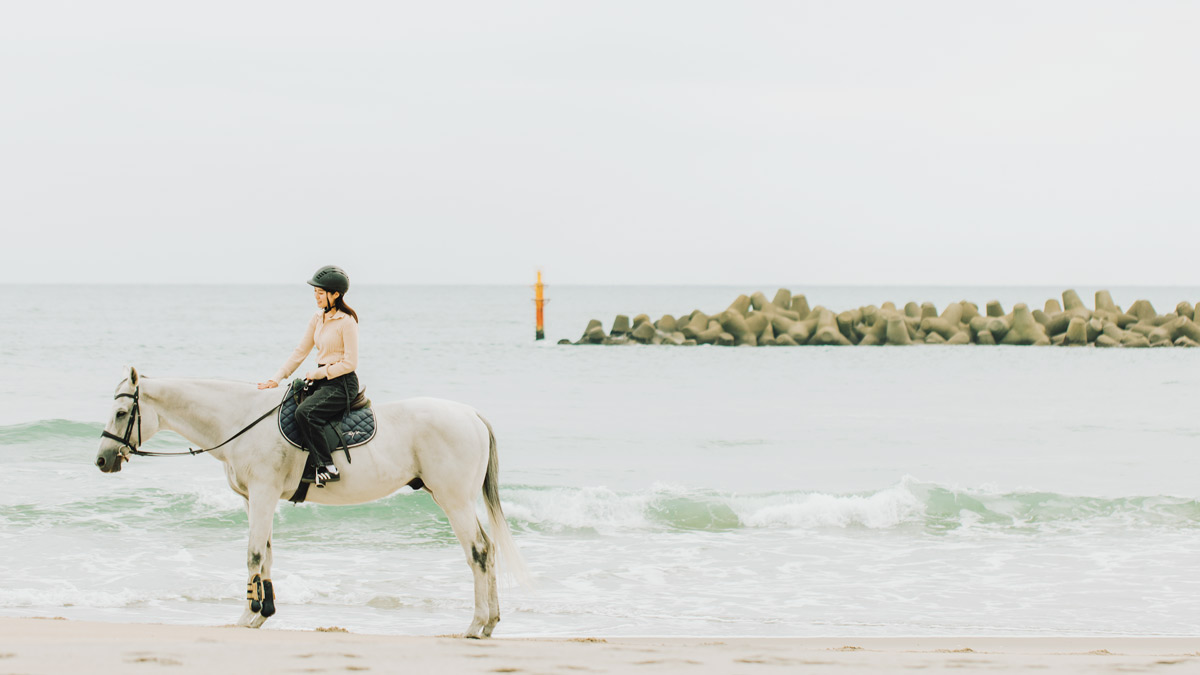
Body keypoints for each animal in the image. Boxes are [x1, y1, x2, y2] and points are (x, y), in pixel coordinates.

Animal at [93, 367, 525, 634]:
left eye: (121, 412)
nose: (102, 460)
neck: (241, 420)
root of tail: (471, 414)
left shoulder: (263, 493)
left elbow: (253, 554)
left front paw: (247, 616)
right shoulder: (256, 498)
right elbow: (266, 553)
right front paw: (263, 614)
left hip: (454, 501)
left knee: (478, 552)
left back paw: (475, 625)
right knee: (486, 549)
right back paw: (490, 623)